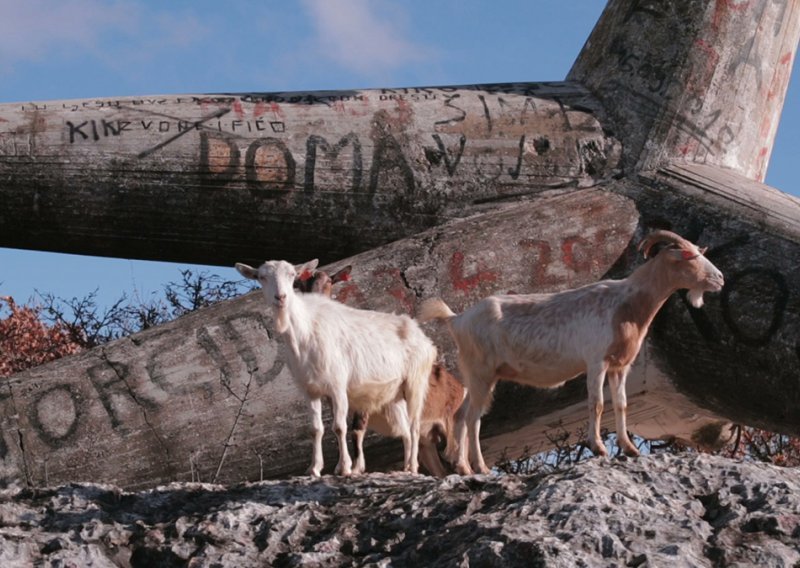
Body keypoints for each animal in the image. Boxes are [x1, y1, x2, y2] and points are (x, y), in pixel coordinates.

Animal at [236, 260, 434, 478]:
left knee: (415, 426)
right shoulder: (309, 390)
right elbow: (315, 429)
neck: (305, 332)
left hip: (416, 382)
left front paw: (345, 468)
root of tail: (423, 337)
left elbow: (339, 427)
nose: (281, 297)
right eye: (261, 277)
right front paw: (314, 468)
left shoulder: (338, 386)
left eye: (291, 275)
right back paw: (405, 467)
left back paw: (413, 467)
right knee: (405, 429)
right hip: (394, 394)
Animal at [296, 264, 466, 478]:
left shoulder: (365, 394)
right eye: (301, 285)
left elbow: (356, 429)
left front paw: (355, 468)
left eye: (329, 282)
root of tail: (460, 387)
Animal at [418, 231, 724, 474]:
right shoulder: (597, 361)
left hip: (479, 377)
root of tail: (457, 319)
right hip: (481, 372)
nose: (720, 278)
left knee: (462, 416)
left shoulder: (620, 366)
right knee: (473, 418)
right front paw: (599, 447)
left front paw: (629, 448)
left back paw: (464, 468)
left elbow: (622, 404)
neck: (625, 304)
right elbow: (597, 403)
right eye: (689, 256)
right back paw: (479, 467)